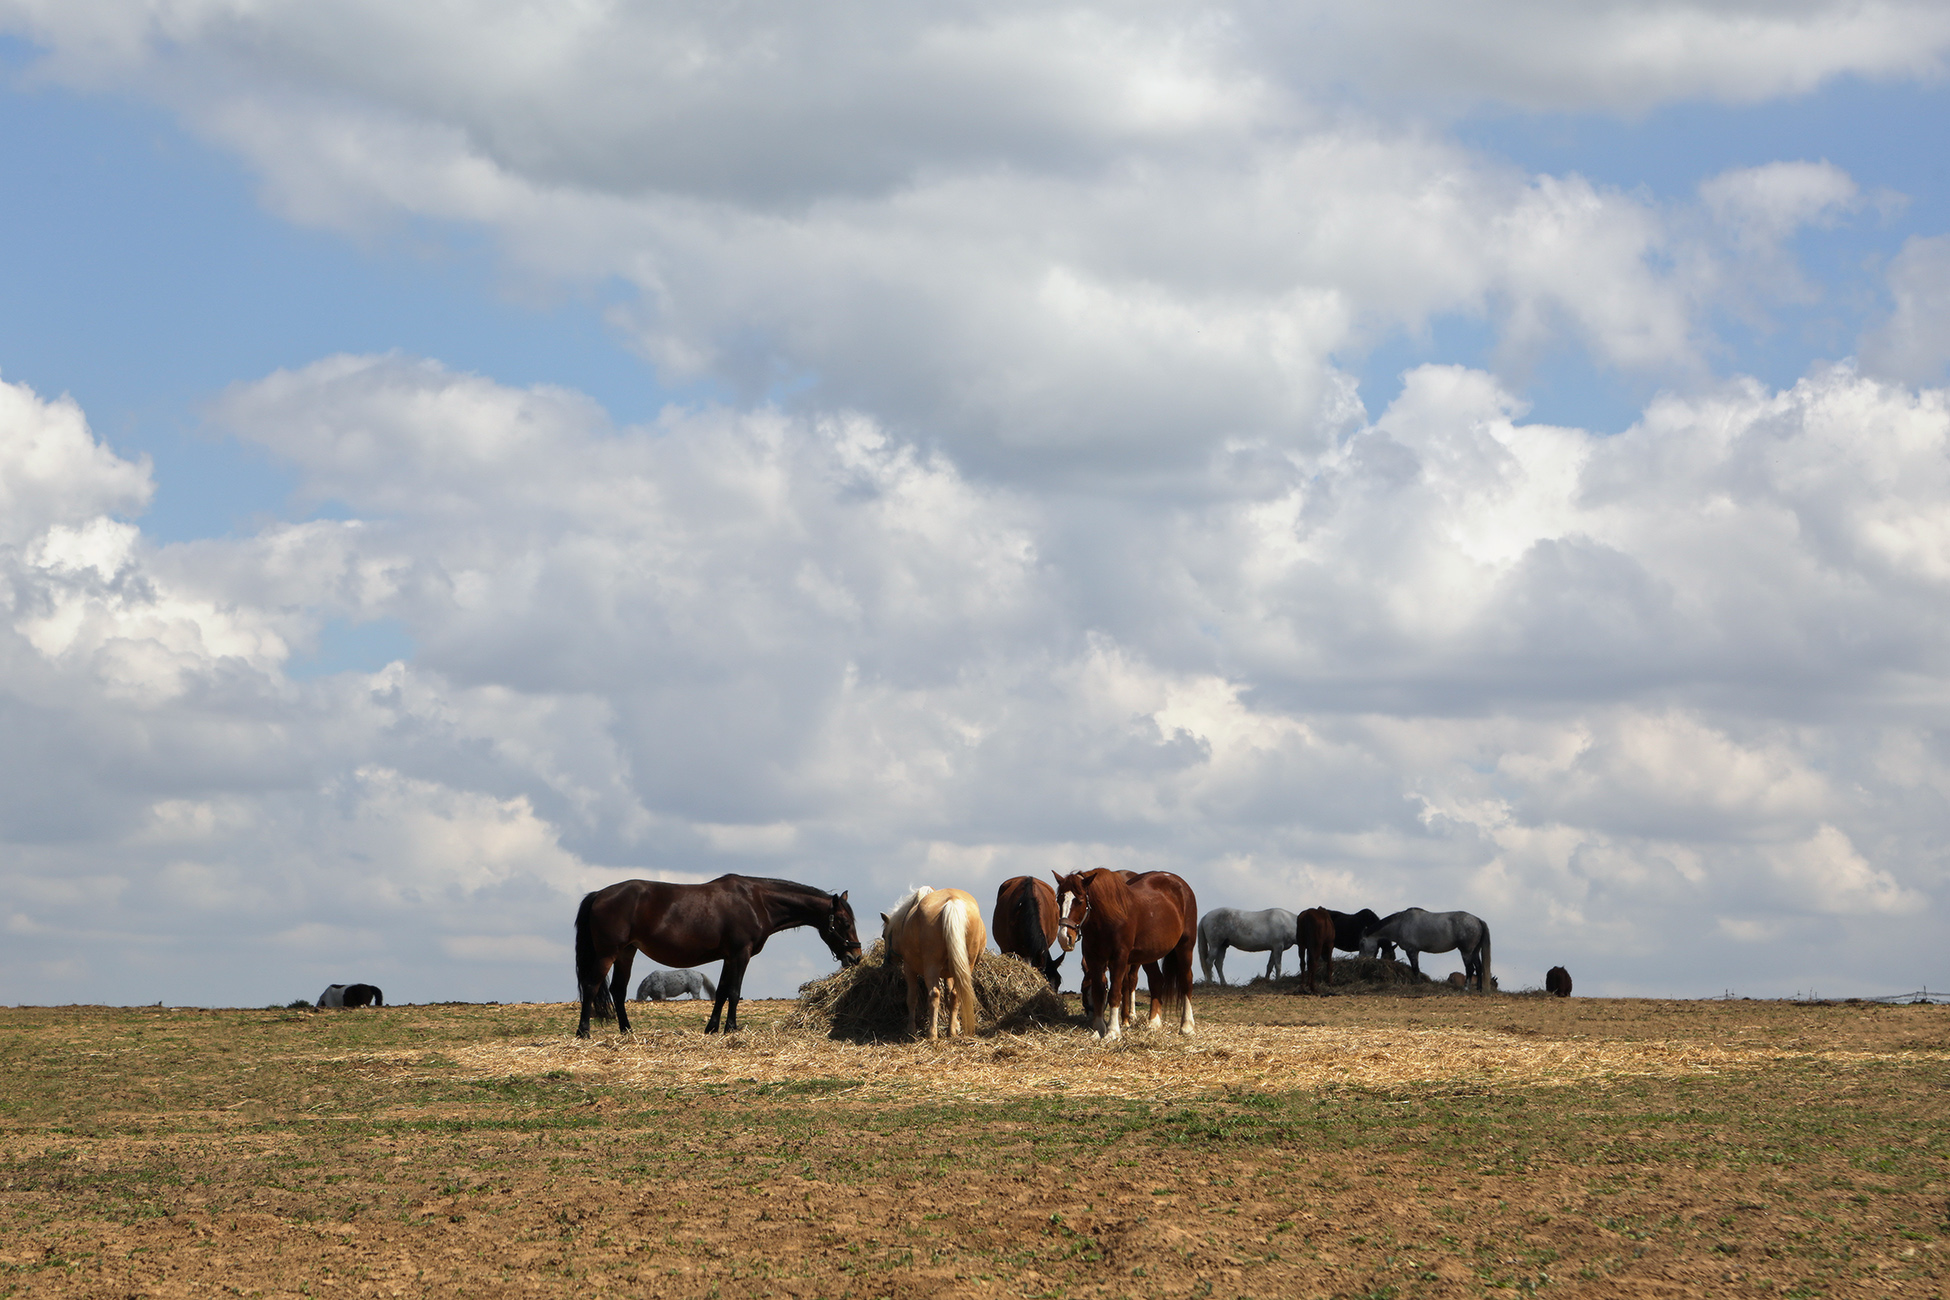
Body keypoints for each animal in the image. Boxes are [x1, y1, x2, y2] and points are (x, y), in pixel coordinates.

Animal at [569, 873, 861, 1036]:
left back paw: (627, 1031)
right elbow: (734, 992)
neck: (756, 901)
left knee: (618, 991)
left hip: (627, 953)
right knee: (592, 986)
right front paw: (730, 1028)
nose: (856, 957)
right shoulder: (741, 954)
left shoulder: (728, 957)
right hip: (608, 954)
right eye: (845, 922)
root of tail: (599, 895)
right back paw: (583, 1031)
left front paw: (711, 1028)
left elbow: (720, 993)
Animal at [881, 884, 982, 1036]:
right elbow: (949, 995)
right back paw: (951, 1032)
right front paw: (955, 1024)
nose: (886, 963)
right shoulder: (950, 972)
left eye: (884, 935)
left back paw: (932, 1033)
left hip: (931, 964)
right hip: (966, 964)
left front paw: (911, 1028)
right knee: (956, 993)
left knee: (934, 994)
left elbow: (912, 998)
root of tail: (952, 901)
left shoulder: (909, 967)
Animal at [1060, 869, 1193, 1044]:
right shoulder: (1095, 960)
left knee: (1186, 981)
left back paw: (1187, 1026)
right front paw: (1098, 1030)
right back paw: (1154, 1023)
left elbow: (1115, 993)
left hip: (1185, 946)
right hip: (1148, 954)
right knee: (1156, 980)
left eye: (1080, 901)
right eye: (1059, 899)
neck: (1107, 917)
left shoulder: (1119, 959)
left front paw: (1113, 1031)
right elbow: (1099, 992)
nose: (1064, 937)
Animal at [1357, 912, 1489, 990]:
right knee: (1478, 968)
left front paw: (1418, 984)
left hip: (1466, 952)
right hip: (1475, 952)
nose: (1360, 960)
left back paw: (1466, 988)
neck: (1401, 923)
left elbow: (1415, 968)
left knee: (1470, 969)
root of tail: (1477, 920)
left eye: (1362, 943)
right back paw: (1479, 989)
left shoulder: (1412, 950)